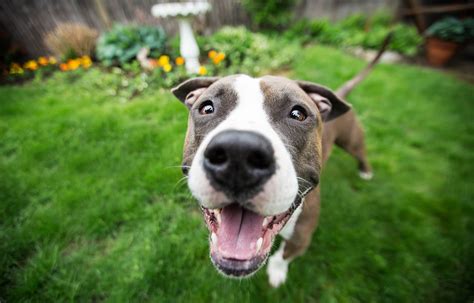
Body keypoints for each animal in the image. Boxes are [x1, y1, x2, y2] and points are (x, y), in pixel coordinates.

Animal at [170, 36, 388, 288]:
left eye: (298, 114)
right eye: (207, 108)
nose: (238, 152)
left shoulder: (302, 235)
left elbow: (284, 255)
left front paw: (276, 272)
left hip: (351, 139)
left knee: (360, 152)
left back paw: (365, 171)